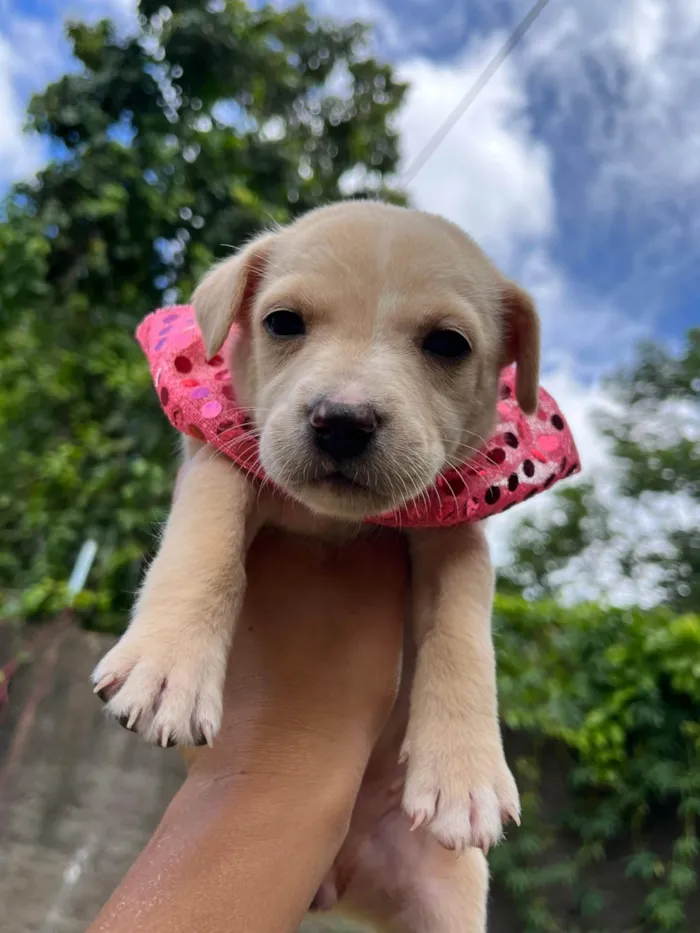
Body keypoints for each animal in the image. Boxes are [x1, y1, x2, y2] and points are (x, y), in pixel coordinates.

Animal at [93, 200, 540, 928]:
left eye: (448, 344)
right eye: (282, 322)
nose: (343, 421)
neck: (333, 520)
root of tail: (340, 880)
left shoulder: (457, 537)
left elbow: (462, 634)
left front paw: (463, 770)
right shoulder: (222, 455)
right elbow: (207, 539)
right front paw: (167, 666)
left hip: (444, 902)